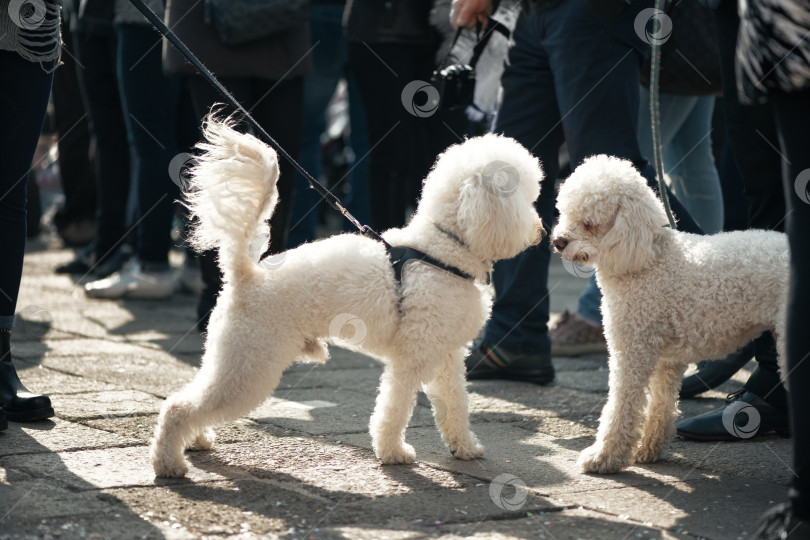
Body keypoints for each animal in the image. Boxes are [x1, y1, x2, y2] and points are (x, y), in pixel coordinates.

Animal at [151, 117, 544, 476]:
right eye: (523, 195)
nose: (542, 232)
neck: (443, 250)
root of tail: (246, 274)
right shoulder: (412, 358)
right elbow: (394, 407)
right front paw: (393, 453)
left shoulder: (447, 357)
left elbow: (455, 406)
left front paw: (464, 448)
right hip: (250, 363)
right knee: (178, 406)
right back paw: (169, 463)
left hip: (234, 356)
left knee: (194, 398)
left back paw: (196, 441)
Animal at [548, 155, 784, 472]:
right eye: (564, 213)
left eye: (589, 224)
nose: (558, 241)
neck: (648, 259)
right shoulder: (666, 360)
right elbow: (660, 404)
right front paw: (648, 449)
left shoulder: (633, 350)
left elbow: (620, 405)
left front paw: (604, 457)